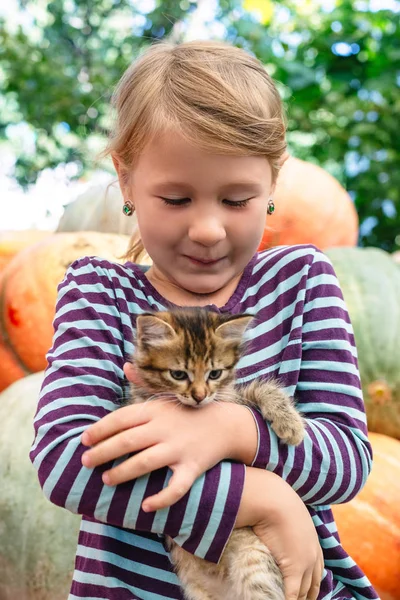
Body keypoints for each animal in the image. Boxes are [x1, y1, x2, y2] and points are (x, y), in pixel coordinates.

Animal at [128, 308, 306, 600]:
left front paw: (290, 423)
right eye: (178, 374)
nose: (200, 396)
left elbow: (259, 388)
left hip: (254, 559)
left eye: (214, 373)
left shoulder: (234, 398)